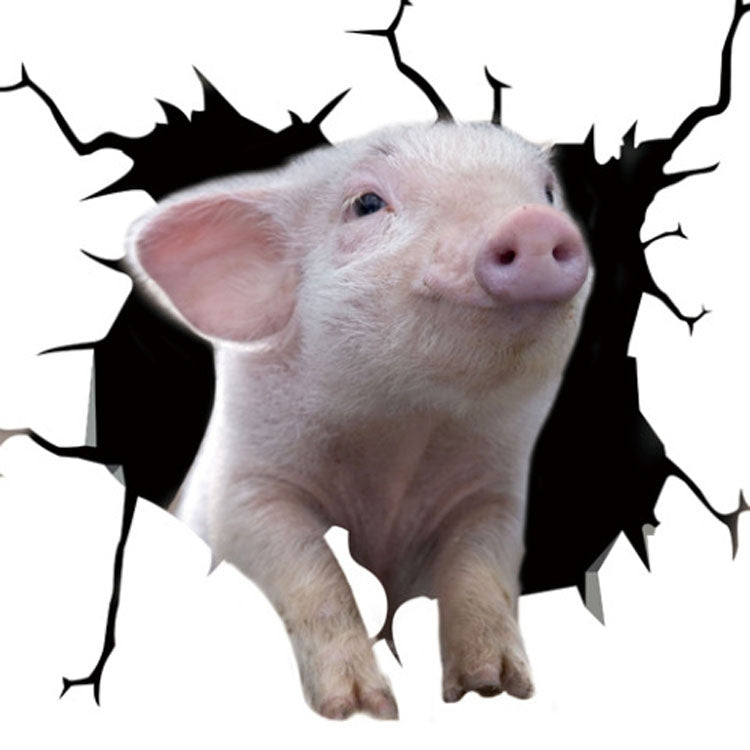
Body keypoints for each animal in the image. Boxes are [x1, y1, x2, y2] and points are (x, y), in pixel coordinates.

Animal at [125, 120, 592, 720]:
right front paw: (363, 708)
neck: (403, 439)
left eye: (548, 194)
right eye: (366, 204)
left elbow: (481, 574)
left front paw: (495, 686)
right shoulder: (240, 494)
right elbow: (315, 571)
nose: (532, 220)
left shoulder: (495, 499)